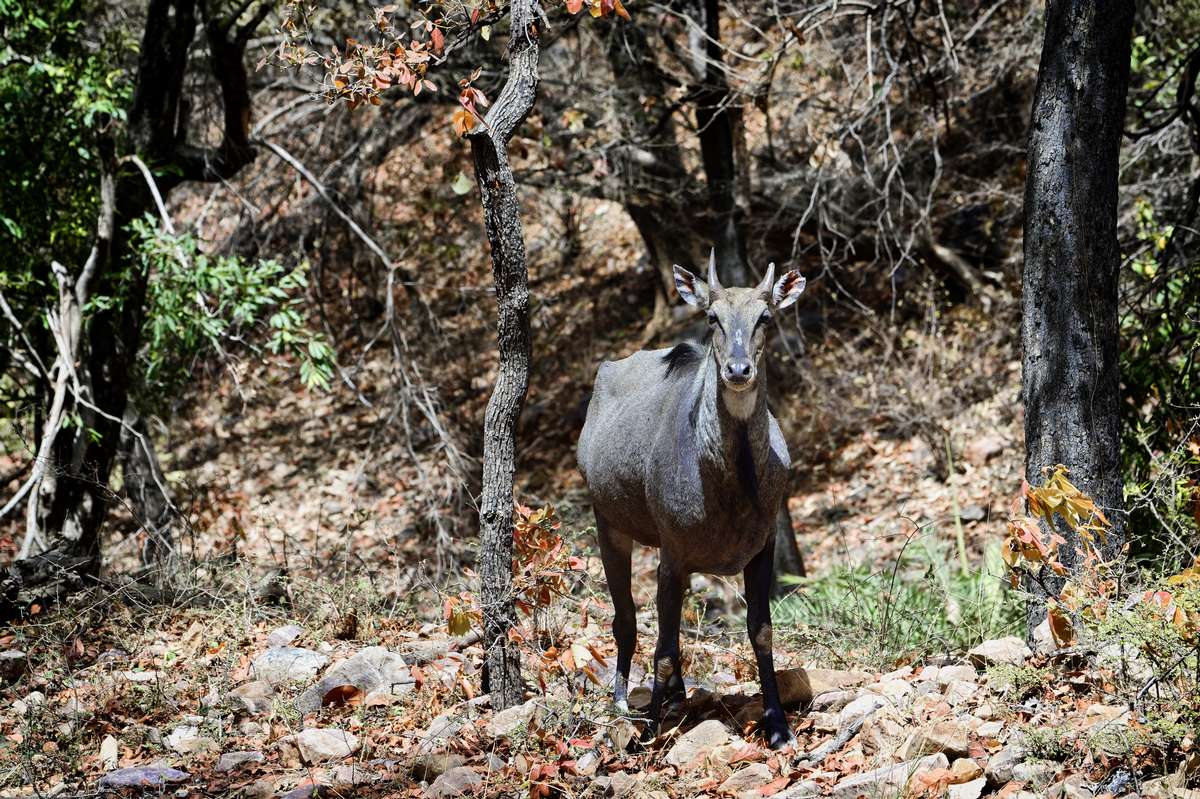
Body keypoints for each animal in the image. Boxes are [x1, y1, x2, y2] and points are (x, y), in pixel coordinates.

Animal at [578, 250, 806, 748]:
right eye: (712, 317)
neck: (732, 488)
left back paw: (677, 697)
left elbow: (761, 632)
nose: (738, 371)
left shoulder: (762, 547)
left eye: (765, 317)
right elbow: (662, 649)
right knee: (626, 619)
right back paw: (623, 703)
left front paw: (778, 726)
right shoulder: (673, 554)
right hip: (609, 523)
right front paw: (649, 734)